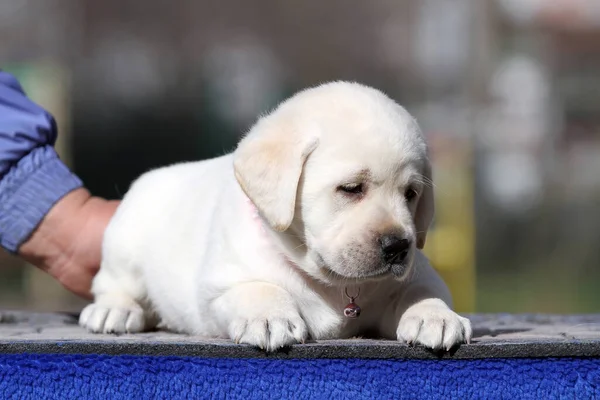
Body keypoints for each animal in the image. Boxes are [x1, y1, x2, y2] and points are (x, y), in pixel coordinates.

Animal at [81, 83, 474, 352]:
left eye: (411, 194)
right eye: (351, 188)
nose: (398, 246)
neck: (334, 283)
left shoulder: (417, 277)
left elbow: (421, 290)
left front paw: (434, 316)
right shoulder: (218, 288)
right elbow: (258, 287)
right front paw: (270, 317)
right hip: (124, 246)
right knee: (112, 285)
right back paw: (114, 311)